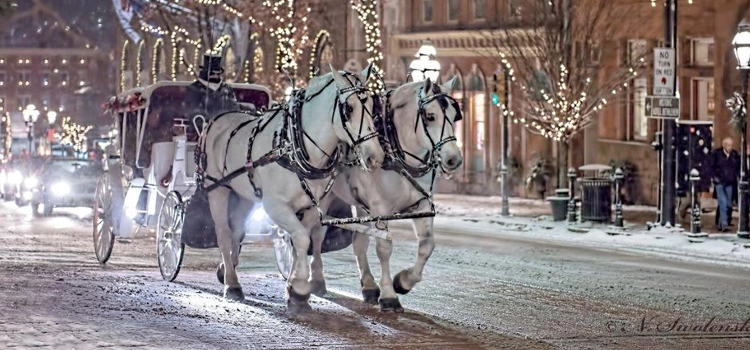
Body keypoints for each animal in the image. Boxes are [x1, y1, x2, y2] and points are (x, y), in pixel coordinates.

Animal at [203, 64, 384, 310]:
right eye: (349, 108)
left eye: (373, 106)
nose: (376, 157)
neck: (292, 146)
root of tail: (218, 118)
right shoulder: (275, 205)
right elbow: (301, 238)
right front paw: (299, 288)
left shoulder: (310, 206)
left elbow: (301, 241)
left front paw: (294, 286)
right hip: (217, 189)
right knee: (223, 233)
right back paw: (232, 284)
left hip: (243, 194)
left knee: (237, 230)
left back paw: (226, 269)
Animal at [310, 77, 464, 312]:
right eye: (430, 116)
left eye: (455, 116)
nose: (453, 159)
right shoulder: (379, 208)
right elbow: (384, 248)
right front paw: (389, 295)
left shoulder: (421, 204)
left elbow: (427, 245)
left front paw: (403, 282)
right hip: (323, 197)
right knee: (316, 234)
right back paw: (316, 279)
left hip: (361, 205)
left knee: (358, 241)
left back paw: (368, 285)